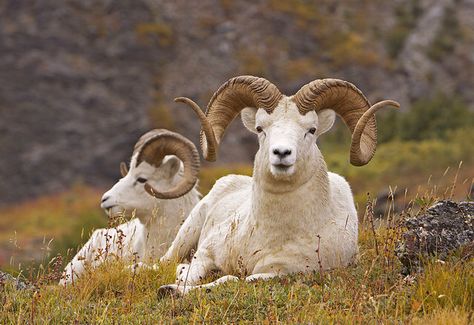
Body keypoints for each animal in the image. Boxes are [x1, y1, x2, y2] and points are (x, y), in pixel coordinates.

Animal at [157, 75, 398, 294]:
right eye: (260, 128)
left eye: (311, 130)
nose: (281, 153)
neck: (268, 234)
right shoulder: (205, 253)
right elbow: (189, 273)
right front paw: (172, 286)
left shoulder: (278, 273)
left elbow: (231, 280)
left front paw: (171, 290)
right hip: (186, 233)